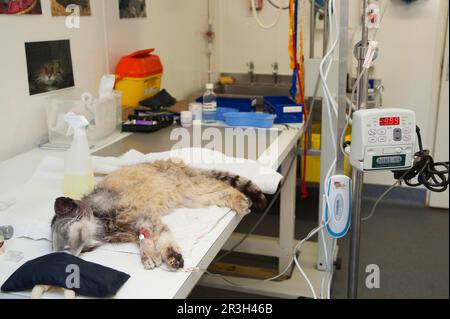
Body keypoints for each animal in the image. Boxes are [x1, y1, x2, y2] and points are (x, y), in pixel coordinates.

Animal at [51, 159, 268, 272]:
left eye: (75, 238)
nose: (75, 254)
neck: (105, 226)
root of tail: (177, 162)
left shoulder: (146, 217)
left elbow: (163, 239)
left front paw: (166, 255)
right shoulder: (142, 224)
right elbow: (146, 240)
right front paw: (150, 255)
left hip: (192, 187)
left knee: (222, 185)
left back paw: (241, 200)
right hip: (192, 197)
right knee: (220, 192)